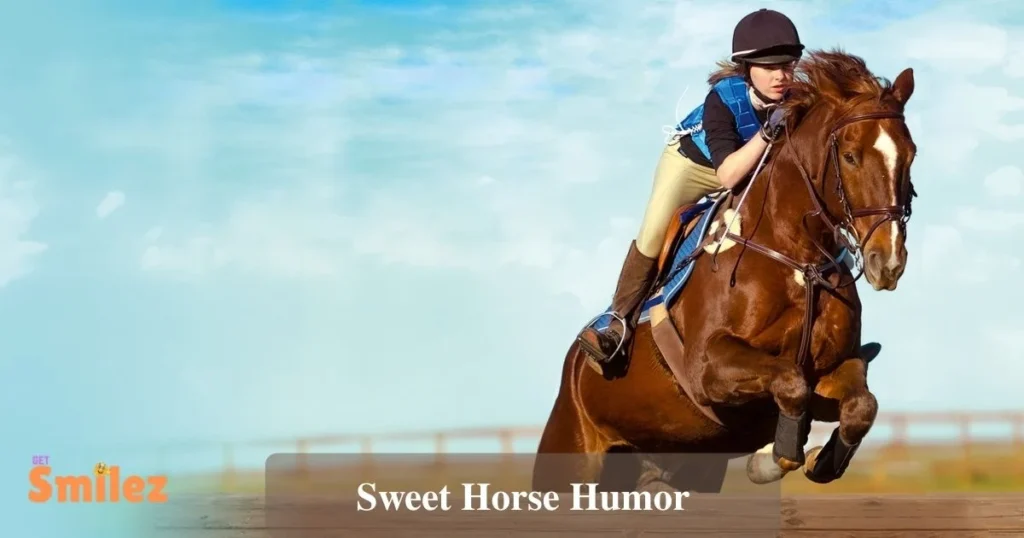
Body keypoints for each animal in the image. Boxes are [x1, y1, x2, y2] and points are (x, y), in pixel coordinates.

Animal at [532, 49, 918, 494]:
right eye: (851, 156)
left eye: (911, 155)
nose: (887, 262)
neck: (798, 260)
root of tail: (575, 364)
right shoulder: (707, 368)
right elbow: (790, 382)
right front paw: (774, 458)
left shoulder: (832, 370)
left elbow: (860, 405)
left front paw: (818, 460)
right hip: (568, 461)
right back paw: (606, 337)